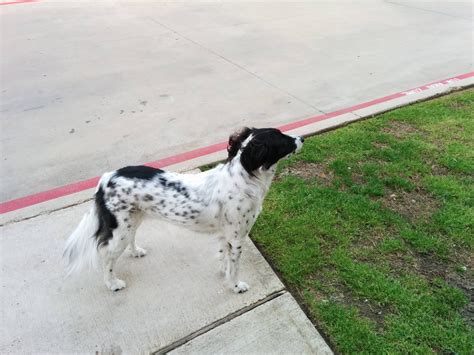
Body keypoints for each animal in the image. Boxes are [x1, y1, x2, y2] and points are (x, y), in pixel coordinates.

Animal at [64, 127, 304, 292]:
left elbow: (223, 258)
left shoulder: (224, 235)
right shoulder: (237, 237)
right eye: (282, 138)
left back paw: (136, 251)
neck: (244, 178)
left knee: (129, 240)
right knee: (106, 256)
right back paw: (112, 283)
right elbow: (234, 266)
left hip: (132, 221)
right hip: (120, 230)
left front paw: (223, 273)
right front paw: (235, 286)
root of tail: (105, 179)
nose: (302, 138)